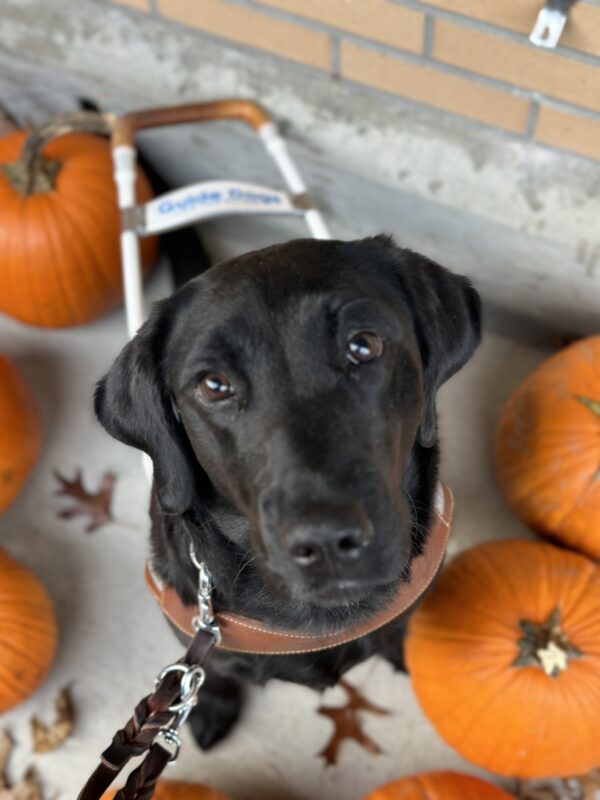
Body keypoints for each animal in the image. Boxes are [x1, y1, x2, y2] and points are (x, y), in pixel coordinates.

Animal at [96, 234, 480, 748]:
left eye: (364, 345)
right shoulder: (193, 632)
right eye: (213, 385)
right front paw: (206, 708)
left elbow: (400, 630)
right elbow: (208, 674)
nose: (326, 541)